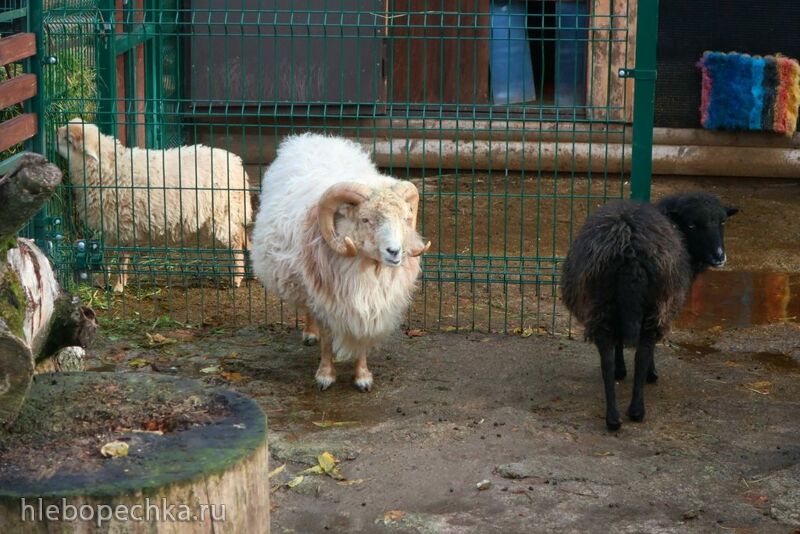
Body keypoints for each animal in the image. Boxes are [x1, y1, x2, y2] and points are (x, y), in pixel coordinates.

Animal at [55, 119, 250, 292]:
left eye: (68, 139)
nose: (55, 133)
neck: (108, 168)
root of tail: (237, 165)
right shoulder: (111, 224)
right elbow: (107, 254)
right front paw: (102, 280)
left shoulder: (124, 225)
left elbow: (122, 258)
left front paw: (119, 286)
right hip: (231, 212)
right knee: (243, 235)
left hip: (223, 214)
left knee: (236, 243)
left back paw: (237, 278)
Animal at [253, 134, 434, 394]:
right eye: (365, 219)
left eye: (405, 218)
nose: (395, 252)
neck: (370, 270)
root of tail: (313, 138)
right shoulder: (325, 298)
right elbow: (328, 339)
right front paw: (325, 376)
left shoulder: (370, 306)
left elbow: (362, 338)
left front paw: (363, 377)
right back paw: (310, 334)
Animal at [560, 193, 740, 432]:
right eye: (692, 225)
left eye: (722, 222)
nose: (719, 257)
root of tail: (630, 249)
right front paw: (650, 373)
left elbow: (619, 344)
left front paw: (620, 371)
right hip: (656, 303)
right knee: (642, 353)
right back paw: (637, 409)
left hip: (600, 305)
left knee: (606, 359)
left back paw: (613, 418)